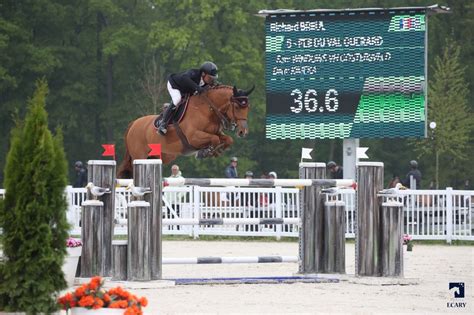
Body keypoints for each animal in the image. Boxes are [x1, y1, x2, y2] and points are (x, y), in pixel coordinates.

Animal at [117, 85, 254, 179]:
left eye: (248, 107)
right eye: (237, 107)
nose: (243, 131)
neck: (207, 110)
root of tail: (133, 124)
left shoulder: (216, 133)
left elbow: (227, 139)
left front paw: (217, 150)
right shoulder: (193, 137)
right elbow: (214, 139)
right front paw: (206, 152)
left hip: (158, 157)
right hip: (140, 156)